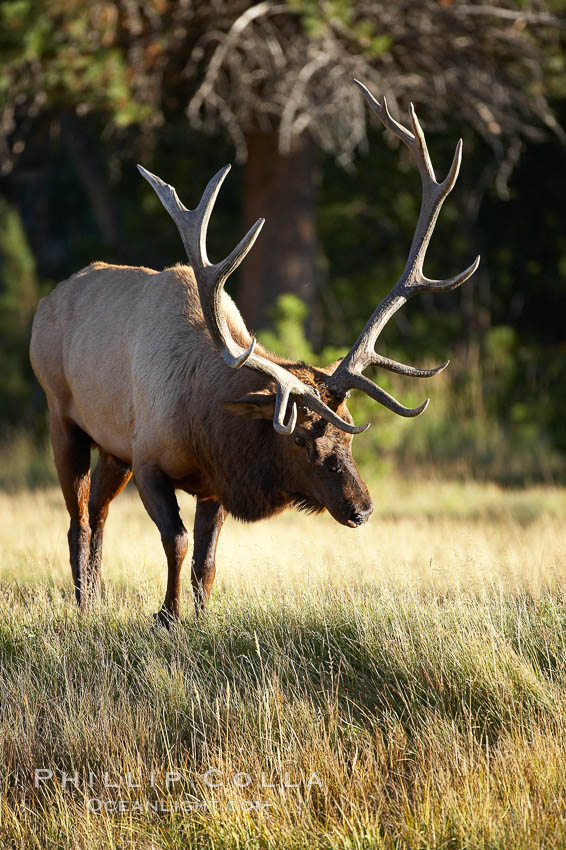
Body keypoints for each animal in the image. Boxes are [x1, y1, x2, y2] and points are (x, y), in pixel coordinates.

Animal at [30, 81, 480, 624]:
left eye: (349, 436)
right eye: (300, 440)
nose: (363, 508)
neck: (205, 419)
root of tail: (47, 301)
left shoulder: (211, 482)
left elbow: (207, 559)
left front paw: (199, 617)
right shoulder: (149, 458)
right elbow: (177, 542)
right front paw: (166, 615)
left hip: (112, 446)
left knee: (98, 510)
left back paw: (96, 597)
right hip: (62, 416)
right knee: (78, 517)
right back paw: (83, 603)